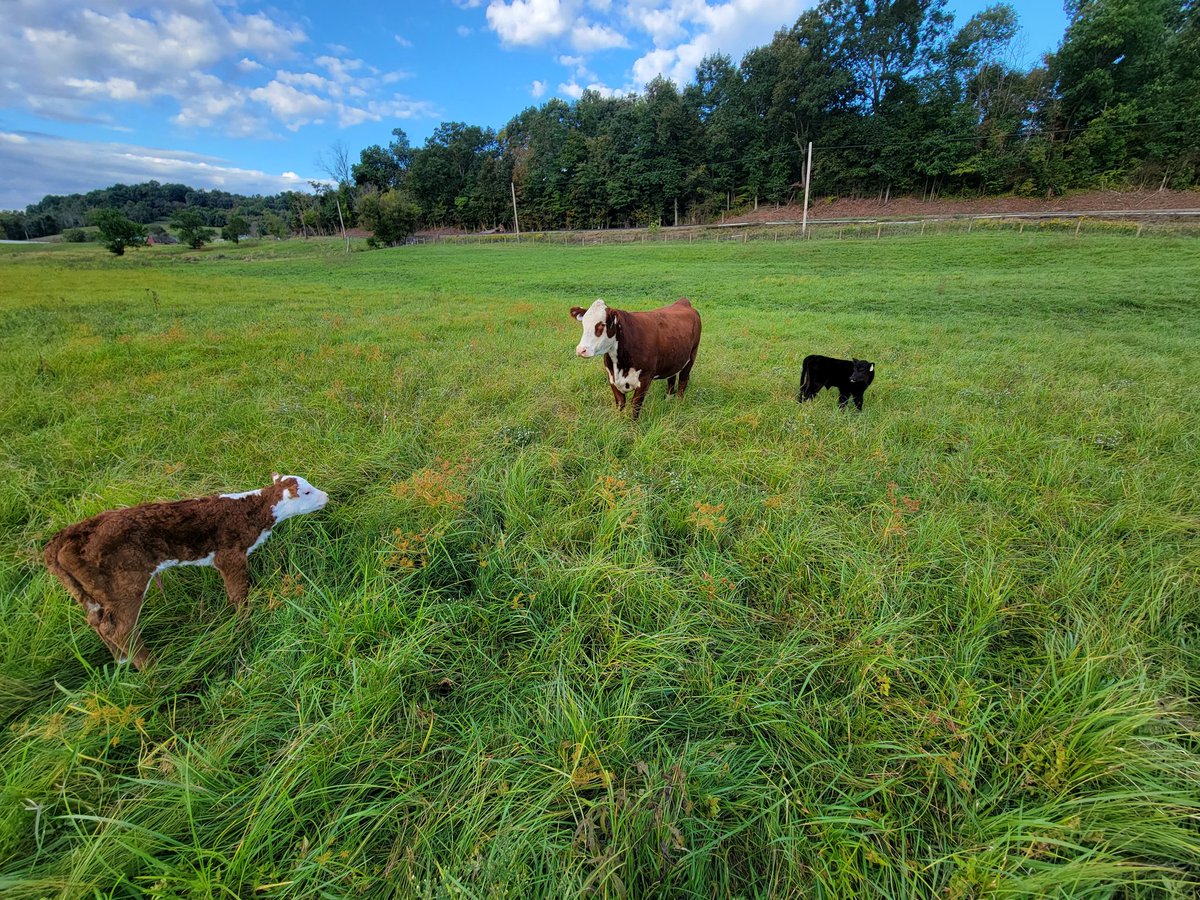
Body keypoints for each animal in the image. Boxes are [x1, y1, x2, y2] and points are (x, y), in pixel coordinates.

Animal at [42, 474, 328, 669]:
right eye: (306, 492)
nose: (326, 496)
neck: (252, 510)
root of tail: (62, 537)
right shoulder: (230, 556)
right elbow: (238, 594)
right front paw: (245, 624)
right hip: (126, 585)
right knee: (120, 629)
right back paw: (151, 668)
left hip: (93, 594)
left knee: (97, 623)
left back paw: (121, 660)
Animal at [570, 297, 702, 420]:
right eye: (584, 324)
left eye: (602, 324)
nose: (581, 350)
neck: (620, 365)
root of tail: (682, 302)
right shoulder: (611, 377)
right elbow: (620, 403)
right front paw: (619, 422)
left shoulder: (645, 378)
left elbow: (636, 404)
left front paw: (633, 425)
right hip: (673, 358)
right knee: (671, 378)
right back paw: (668, 400)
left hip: (692, 355)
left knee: (683, 381)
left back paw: (678, 404)